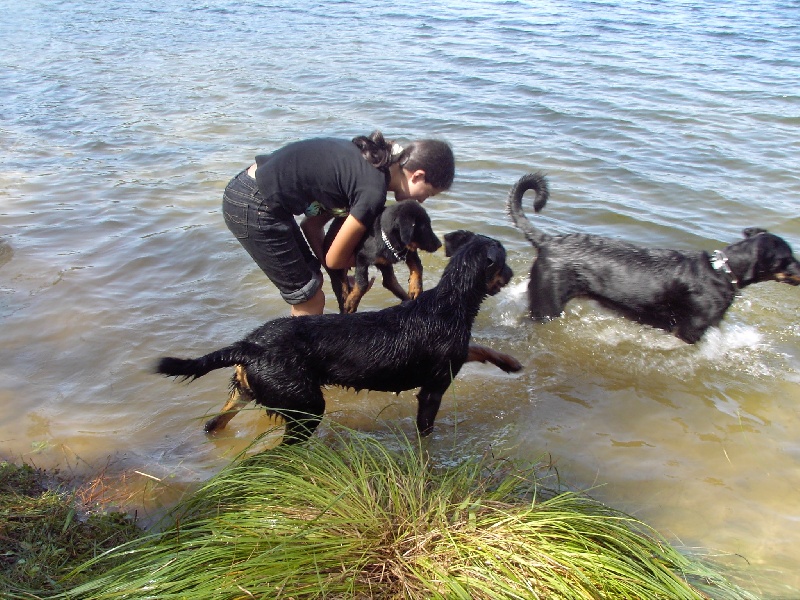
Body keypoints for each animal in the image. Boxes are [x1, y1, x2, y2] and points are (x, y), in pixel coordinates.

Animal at [154, 230, 520, 446]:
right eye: (503, 264)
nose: (514, 273)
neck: (452, 300)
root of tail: (248, 346)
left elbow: (478, 348)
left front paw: (510, 363)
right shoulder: (433, 388)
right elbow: (426, 428)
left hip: (246, 391)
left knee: (215, 422)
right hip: (306, 406)